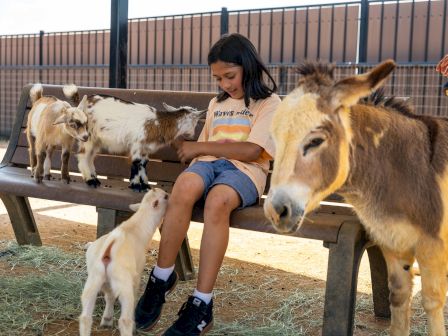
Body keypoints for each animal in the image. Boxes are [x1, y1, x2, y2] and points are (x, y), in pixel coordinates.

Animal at [62, 84, 206, 192]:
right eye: (196, 122)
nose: (192, 135)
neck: (157, 123)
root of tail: (82, 104)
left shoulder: (145, 148)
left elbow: (143, 164)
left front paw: (144, 185)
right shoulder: (137, 144)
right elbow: (136, 163)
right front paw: (137, 185)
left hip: (97, 139)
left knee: (90, 157)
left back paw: (95, 179)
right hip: (88, 136)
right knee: (83, 156)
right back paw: (90, 180)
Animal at [264, 61, 448, 336]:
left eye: (316, 141)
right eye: (275, 141)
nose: (275, 211)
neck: (406, 169)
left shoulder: (432, 246)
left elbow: (432, 301)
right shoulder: (393, 242)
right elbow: (399, 298)